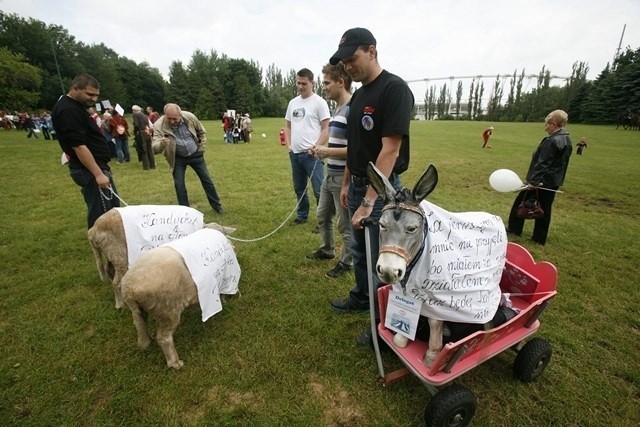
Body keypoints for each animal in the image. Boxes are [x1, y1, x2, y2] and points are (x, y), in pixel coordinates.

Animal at [86, 206, 234, 310]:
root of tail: (93, 231)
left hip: (112, 254)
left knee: (109, 271)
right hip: (119, 256)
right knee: (116, 283)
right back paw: (120, 304)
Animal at [120, 229, 240, 370]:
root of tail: (129, 288)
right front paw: (224, 301)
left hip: (139, 310)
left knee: (140, 326)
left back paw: (146, 343)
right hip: (167, 310)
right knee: (164, 338)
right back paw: (175, 363)